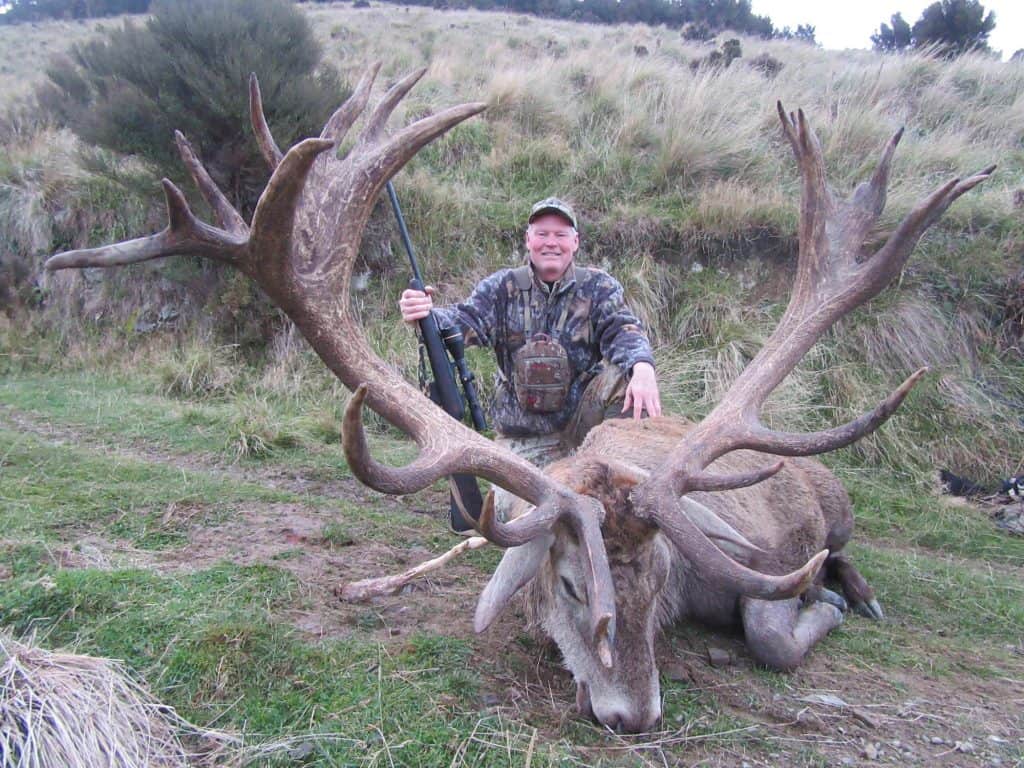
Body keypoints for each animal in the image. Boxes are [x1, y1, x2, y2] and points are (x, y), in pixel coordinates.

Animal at [44, 63, 993, 734]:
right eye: (568, 584)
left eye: (662, 581)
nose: (634, 717)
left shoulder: (757, 550)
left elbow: (772, 625)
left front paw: (823, 601)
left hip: (836, 500)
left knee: (845, 545)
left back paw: (855, 587)